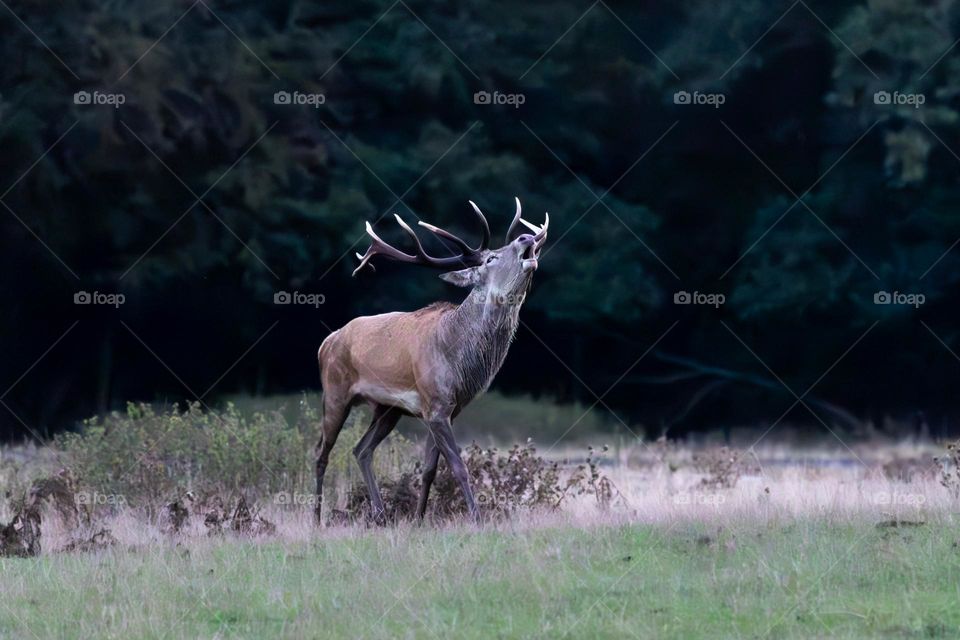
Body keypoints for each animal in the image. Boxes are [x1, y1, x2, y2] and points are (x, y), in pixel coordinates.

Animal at [314, 198, 548, 524]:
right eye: (490, 258)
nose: (527, 238)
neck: (458, 357)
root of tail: (327, 342)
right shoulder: (435, 405)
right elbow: (459, 467)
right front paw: (477, 519)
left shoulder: (445, 409)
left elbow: (429, 470)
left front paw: (419, 519)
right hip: (335, 393)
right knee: (321, 453)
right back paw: (316, 518)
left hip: (387, 408)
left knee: (361, 450)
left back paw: (381, 514)